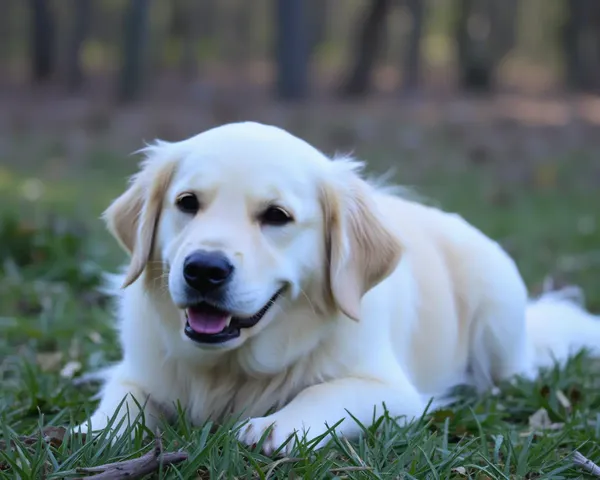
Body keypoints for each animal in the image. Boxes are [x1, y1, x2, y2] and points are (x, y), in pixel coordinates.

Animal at [79, 120, 600, 454]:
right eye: (187, 202)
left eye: (277, 216)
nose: (204, 269)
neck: (232, 369)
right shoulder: (137, 371)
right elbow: (122, 401)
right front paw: (95, 430)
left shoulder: (393, 392)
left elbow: (325, 393)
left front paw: (276, 425)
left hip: (498, 312)